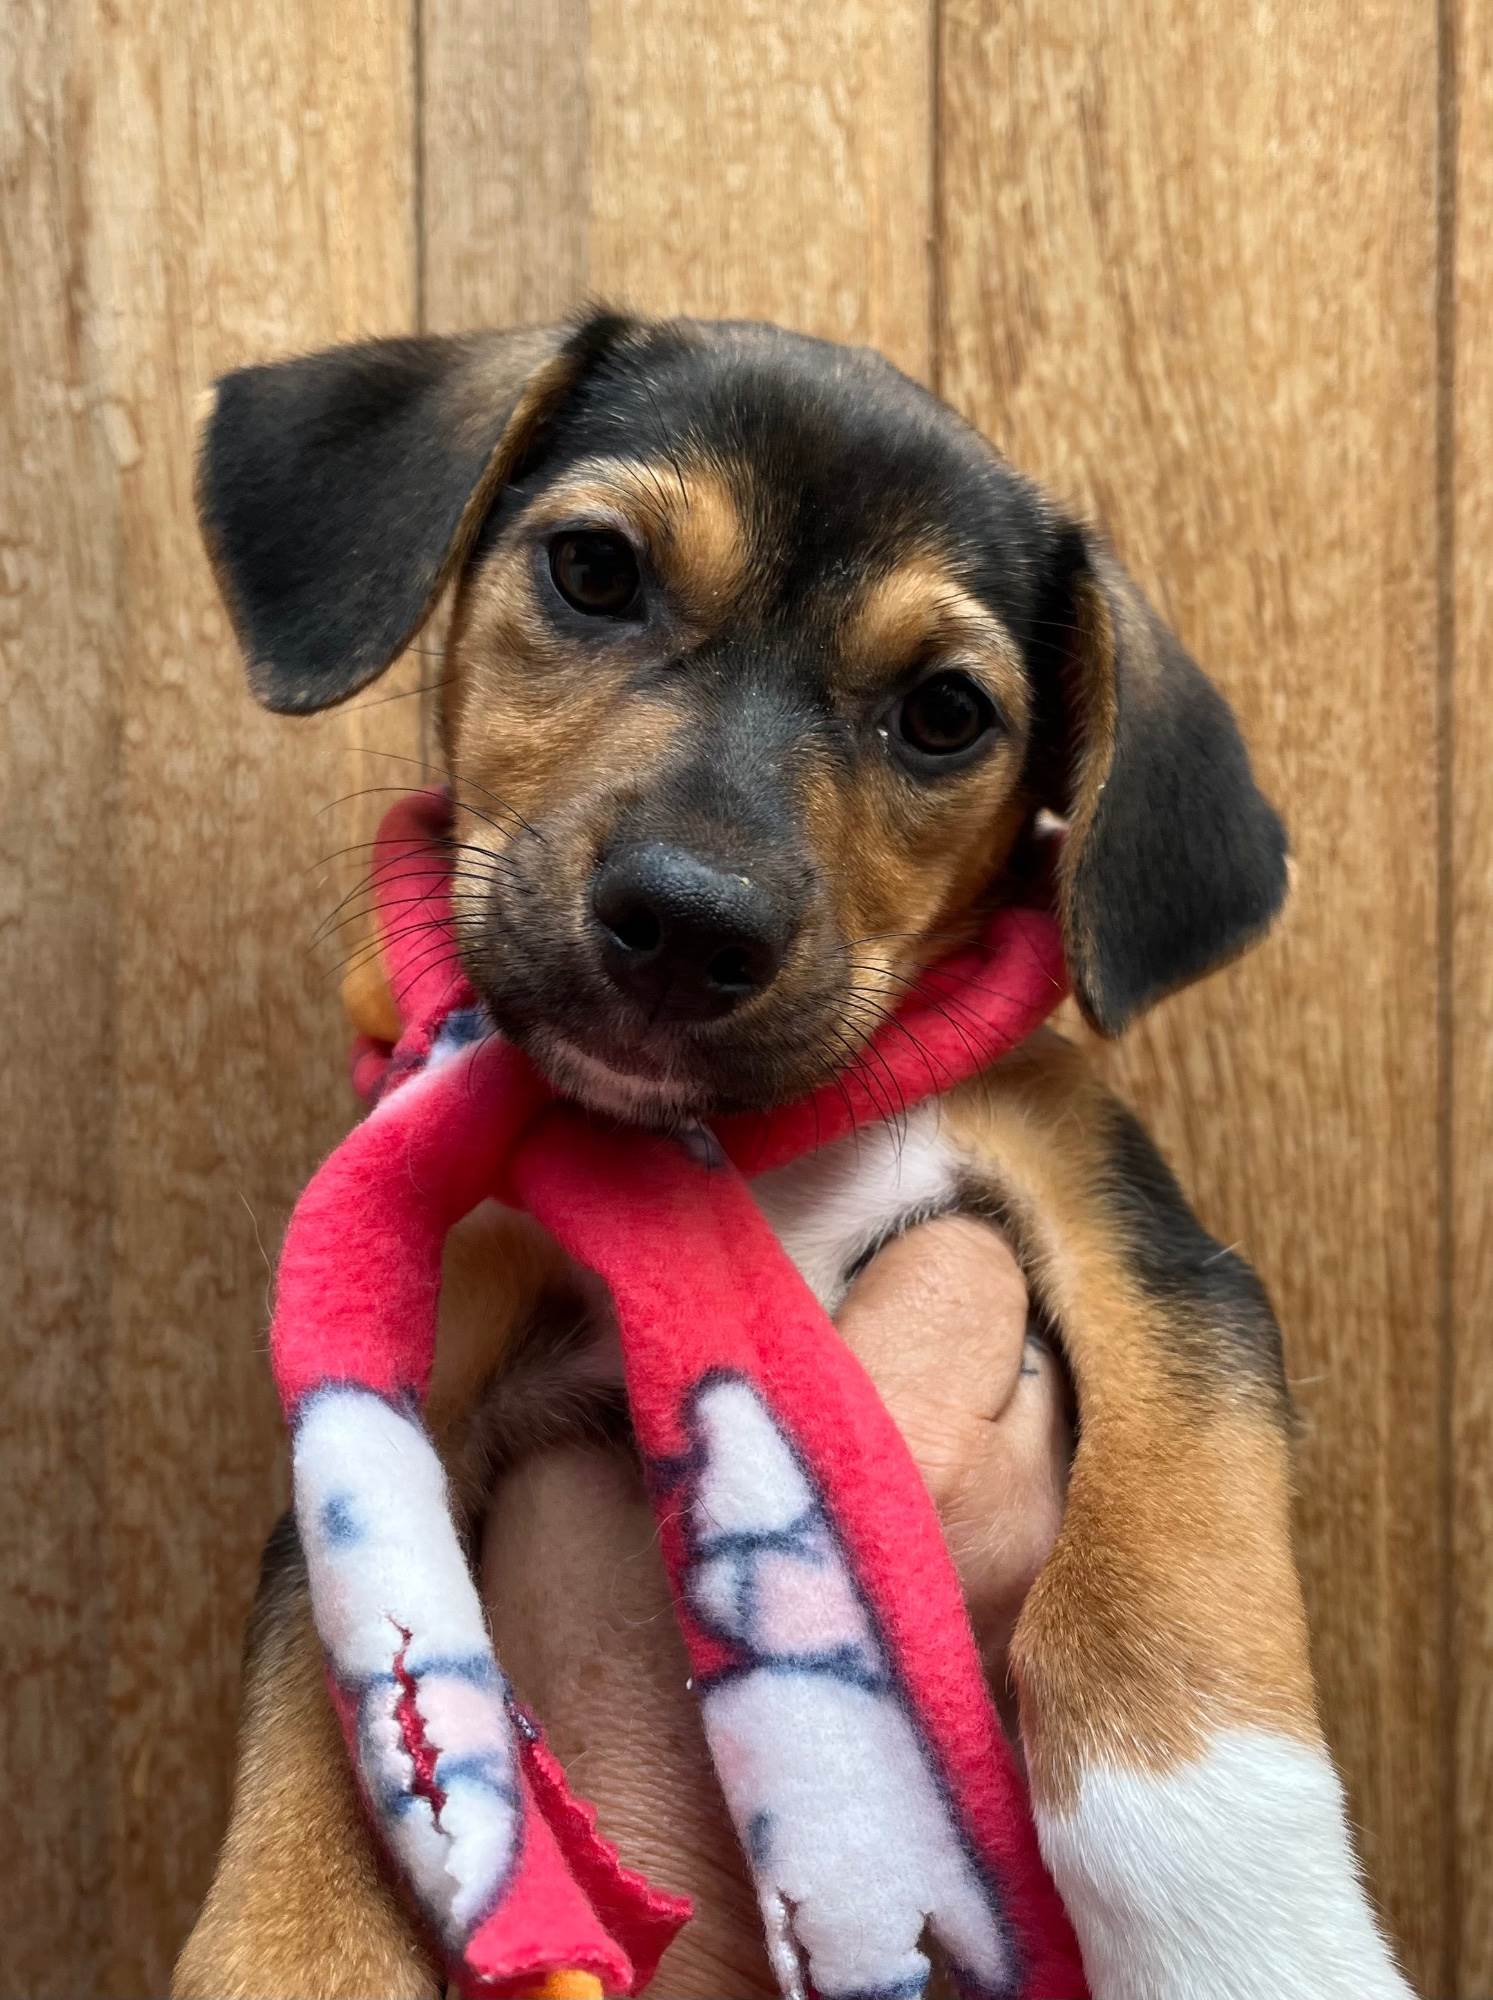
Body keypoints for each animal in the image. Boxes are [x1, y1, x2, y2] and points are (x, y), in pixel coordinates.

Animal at [174, 311, 1413, 1999]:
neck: (722, 1150)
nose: (688, 923)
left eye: (945, 714)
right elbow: (338, 1702)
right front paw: (293, 1940)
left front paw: (1253, 1938)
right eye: (592, 569)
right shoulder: (392, 1384)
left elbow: (1153, 1583)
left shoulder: (1141, 1241)